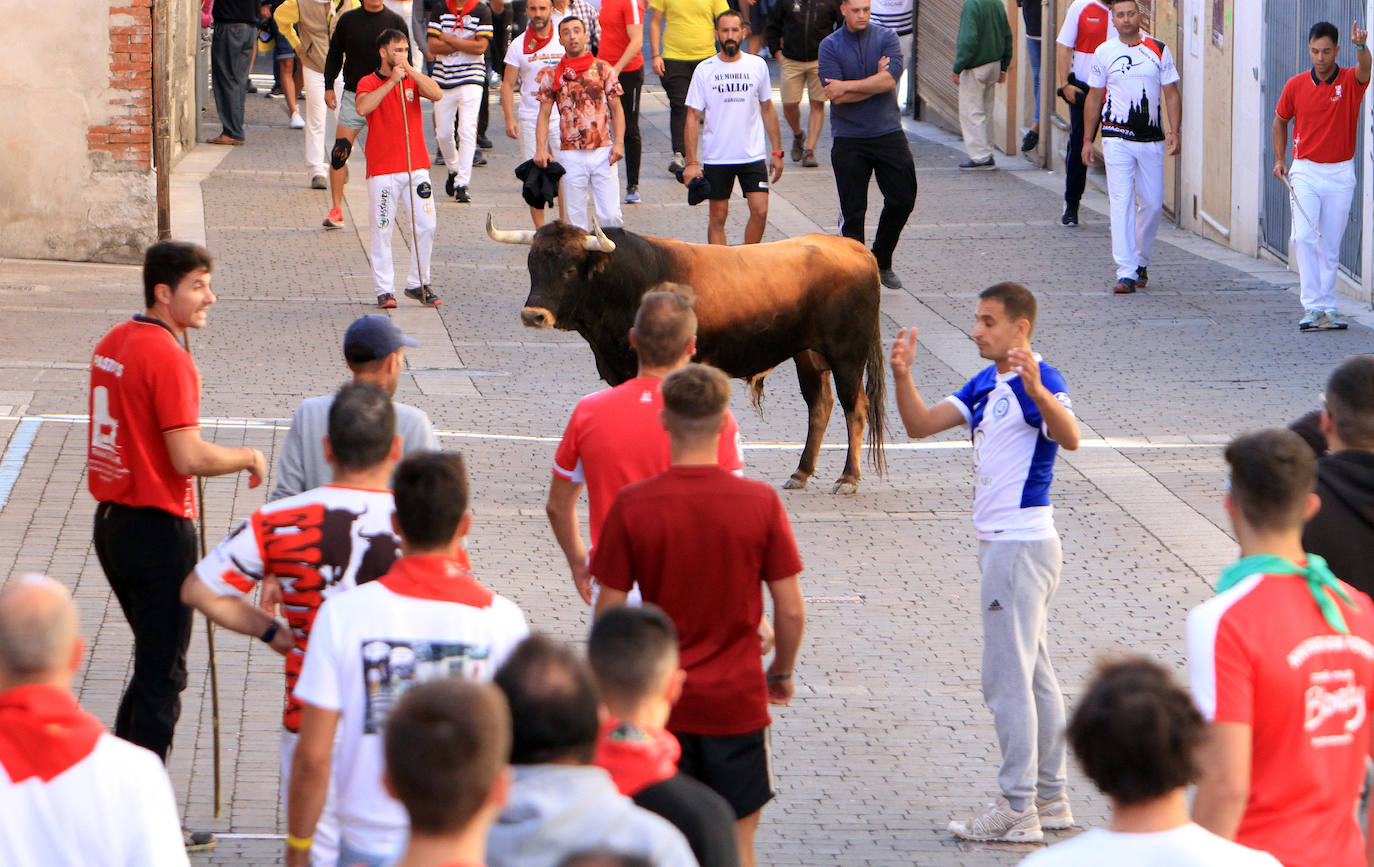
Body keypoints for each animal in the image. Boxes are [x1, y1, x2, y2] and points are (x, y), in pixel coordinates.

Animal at [489, 214, 884, 491]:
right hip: (808, 355)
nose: (534, 315)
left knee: (855, 408)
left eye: (570, 269)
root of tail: (858, 250)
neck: (630, 283)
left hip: (847, 355)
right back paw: (801, 473)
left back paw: (848, 478)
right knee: (820, 406)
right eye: (532, 265)